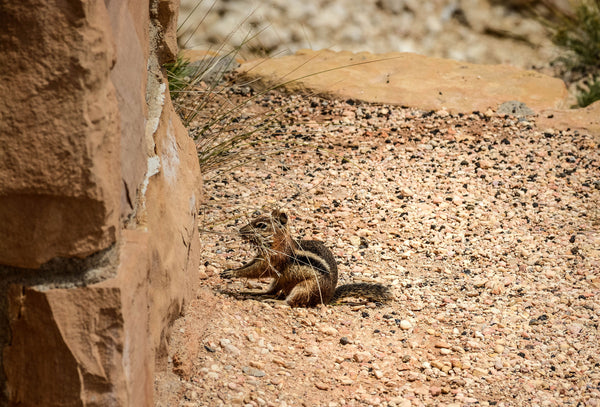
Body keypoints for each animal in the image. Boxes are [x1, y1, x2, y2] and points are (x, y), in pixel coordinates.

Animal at [219, 209, 390, 308]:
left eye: (261, 225)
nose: (240, 230)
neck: (280, 243)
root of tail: (326, 298)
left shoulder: (273, 260)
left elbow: (256, 270)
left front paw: (232, 273)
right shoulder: (262, 257)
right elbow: (250, 266)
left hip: (305, 288)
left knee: (289, 302)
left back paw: (274, 302)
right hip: (282, 281)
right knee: (271, 291)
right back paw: (252, 292)